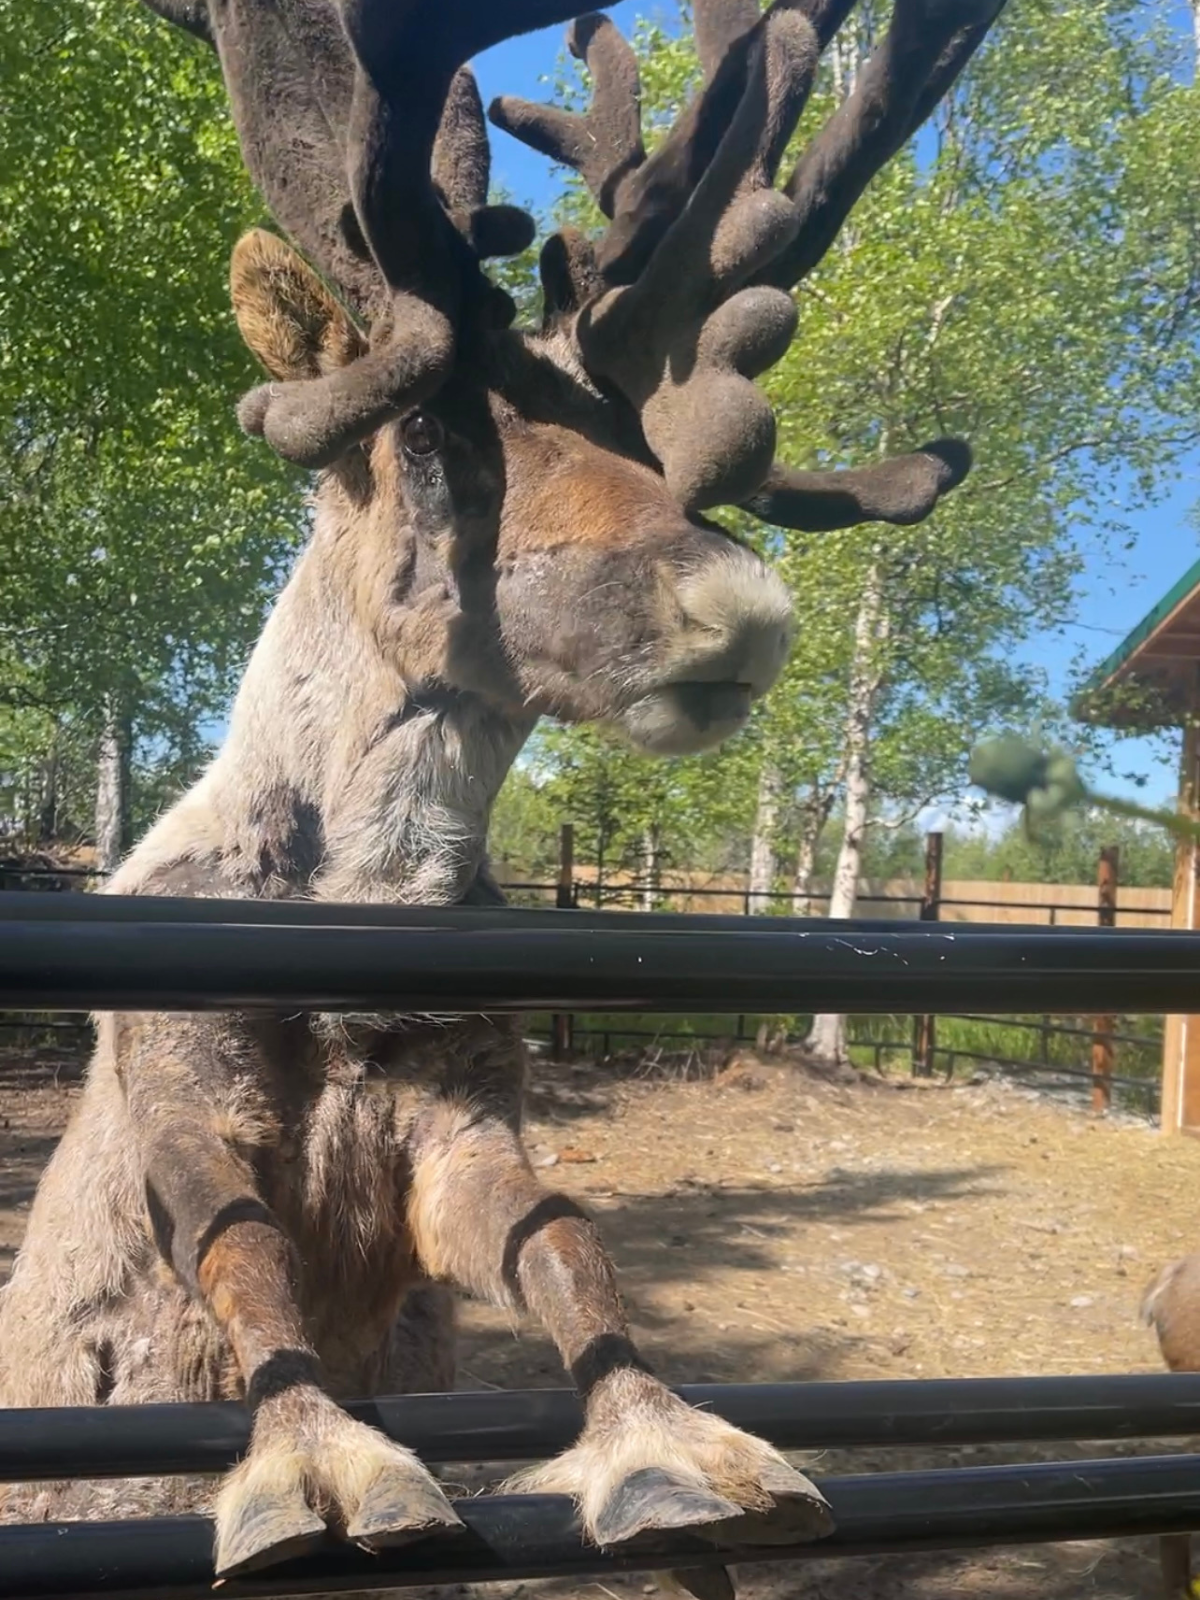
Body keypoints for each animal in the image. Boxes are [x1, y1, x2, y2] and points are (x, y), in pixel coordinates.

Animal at [0, 0, 999, 1587]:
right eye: (432, 436)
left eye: (646, 448)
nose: (744, 607)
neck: (363, 922)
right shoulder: (178, 1080)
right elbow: (239, 1253)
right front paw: (320, 1467)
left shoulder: (463, 1119)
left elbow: (568, 1239)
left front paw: (673, 1448)